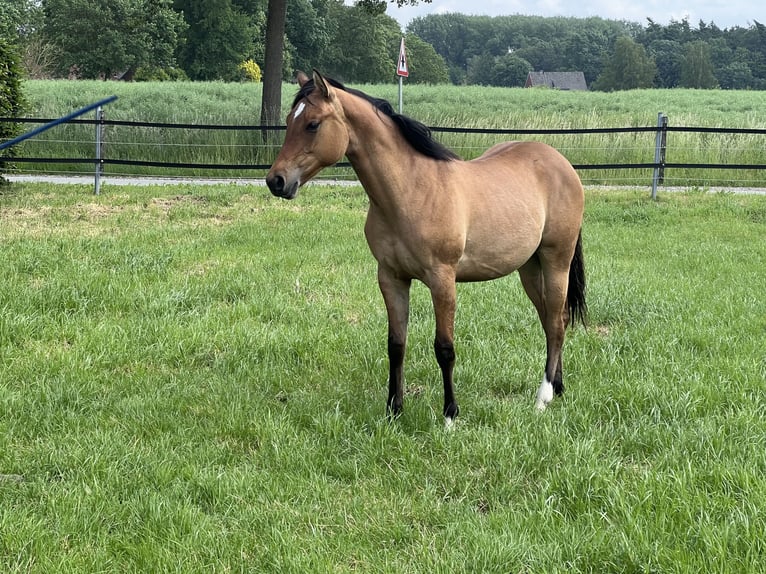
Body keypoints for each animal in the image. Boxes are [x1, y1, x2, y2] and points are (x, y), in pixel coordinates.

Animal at [266, 70, 586, 424]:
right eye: (289, 121)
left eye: (312, 124)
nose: (276, 181)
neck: (411, 190)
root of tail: (561, 164)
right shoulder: (391, 278)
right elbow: (396, 344)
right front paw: (394, 411)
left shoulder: (442, 279)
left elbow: (444, 348)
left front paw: (450, 415)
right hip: (529, 268)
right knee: (552, 320)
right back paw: (558, 387)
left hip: (556, 260)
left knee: (556, 323)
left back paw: (543, 397)